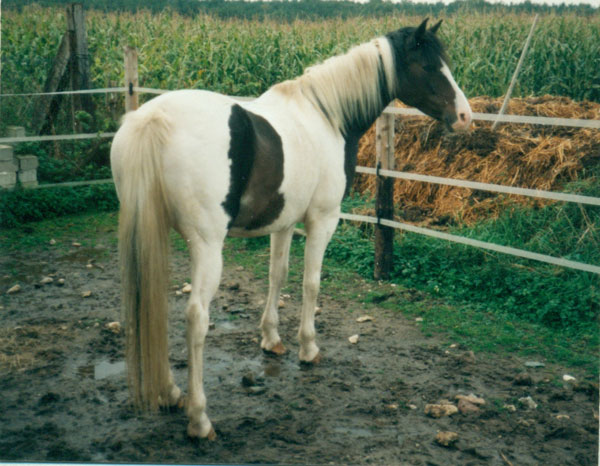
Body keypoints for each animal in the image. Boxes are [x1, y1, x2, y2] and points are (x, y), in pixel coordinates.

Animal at [110, 18, 472, 440]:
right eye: (429, 66)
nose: (465, 115)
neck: (328, 115)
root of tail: (153, 121)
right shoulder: (322, 219)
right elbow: (310, 283)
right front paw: (308, 348)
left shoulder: (282, 223)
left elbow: (277, 276)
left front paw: (271, 340)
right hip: (207, 245)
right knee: (197, 318)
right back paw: (199, 418)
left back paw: (170, 392)